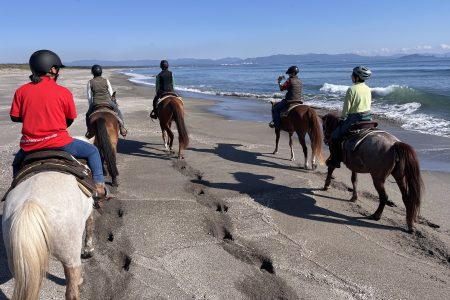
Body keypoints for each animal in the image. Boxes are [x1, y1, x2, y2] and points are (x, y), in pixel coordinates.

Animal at [2, 145, 96, 298]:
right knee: (71, 291)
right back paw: (79, 281)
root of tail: (30, 203)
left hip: (21, 264)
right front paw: (89, 250)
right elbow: (90, 225)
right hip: (70, 256)